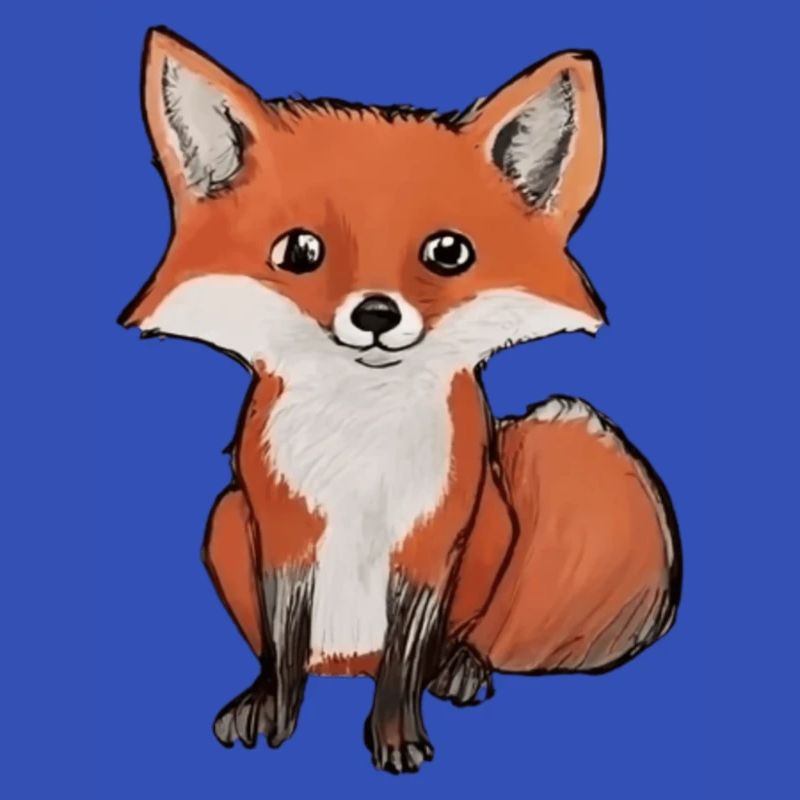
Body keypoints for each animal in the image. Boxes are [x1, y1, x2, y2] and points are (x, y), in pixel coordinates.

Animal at [119, 27, 682, 774]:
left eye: (448, 252)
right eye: (300, 251)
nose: (377, 314)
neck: (361, 437)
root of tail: (347, 662)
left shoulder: (432, 538)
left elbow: (406, 660)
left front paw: (395, 737)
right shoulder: (282, 529)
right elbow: (282, 647)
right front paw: (273, 709)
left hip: (491, 528)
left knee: (454, 643)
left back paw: (463, 666)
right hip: (223, 520)